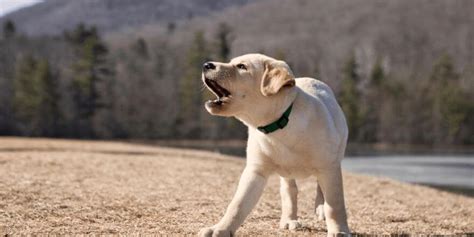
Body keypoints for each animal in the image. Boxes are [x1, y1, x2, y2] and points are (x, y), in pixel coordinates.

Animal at [198, 53, 350, 237]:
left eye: (242, 66)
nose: (206, 65)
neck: (279, 125)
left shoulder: (328, 167)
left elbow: (334, 204)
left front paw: (339, 231)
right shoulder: (256, 170)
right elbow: (237, 204)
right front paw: (220, 229)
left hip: (335, 156)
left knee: (321, 189)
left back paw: (320, 209)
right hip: (287, 173)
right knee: (290, 191)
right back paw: (289, 220)